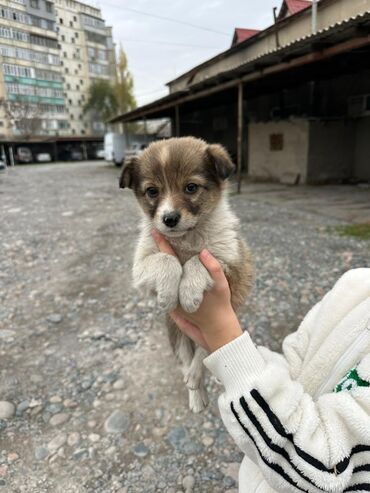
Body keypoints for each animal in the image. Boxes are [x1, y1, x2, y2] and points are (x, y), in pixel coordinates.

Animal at [120, 135, 253, 412]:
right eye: (152, 191)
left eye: (191, 187)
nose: (169, 218)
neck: (185, 238)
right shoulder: (140, 268)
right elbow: (168, 260)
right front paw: (169, 295)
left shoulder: (232, 262)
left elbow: (195, 260)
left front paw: (189, 293)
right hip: (175, 332)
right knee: (186, 360)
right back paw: (195, 394)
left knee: (203, 355)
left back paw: (197, 379)